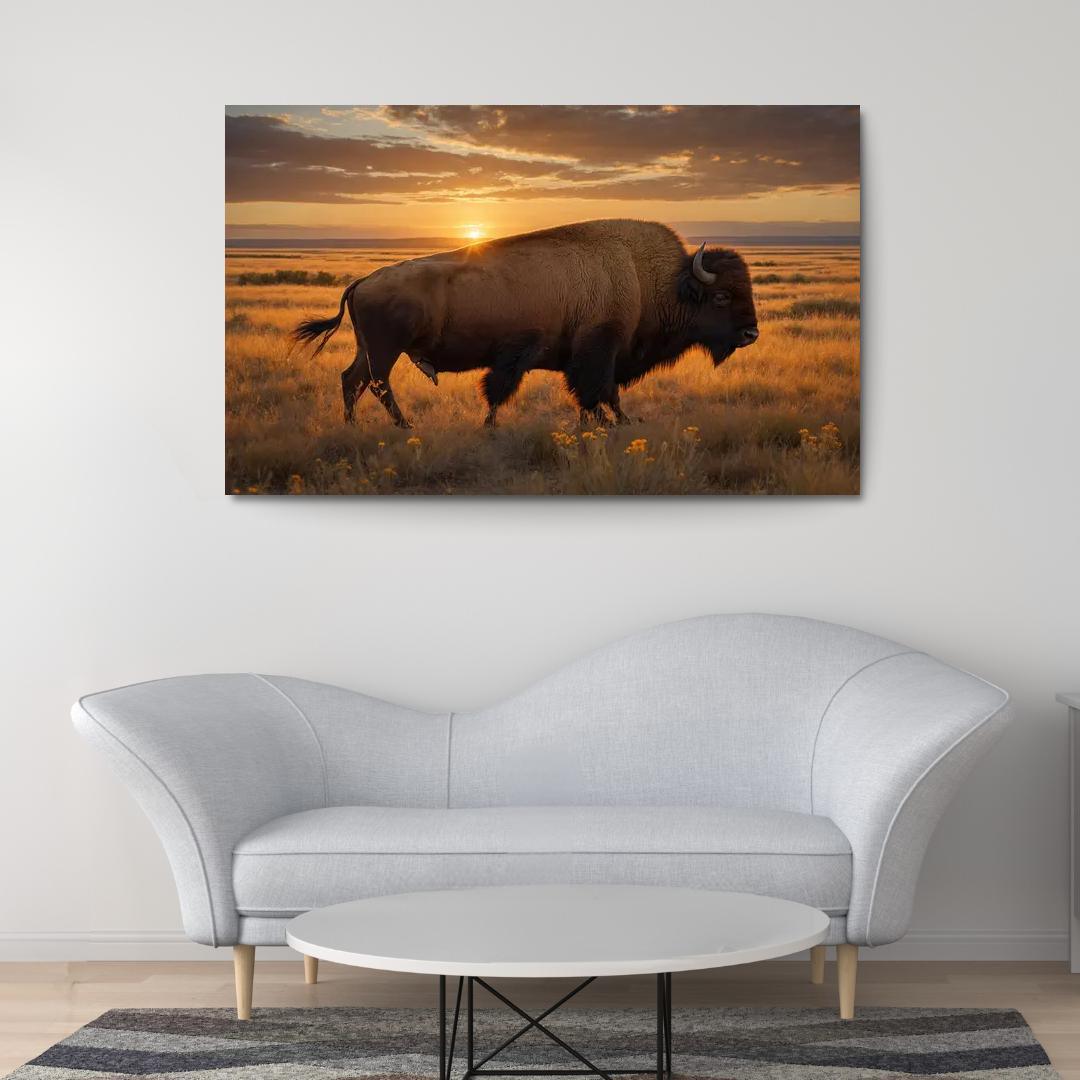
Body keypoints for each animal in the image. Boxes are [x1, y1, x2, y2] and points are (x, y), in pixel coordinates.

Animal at [293, 219, 758, 429]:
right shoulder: (597, 350)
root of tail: (363, 281)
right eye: (721, 296)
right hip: (386, 350)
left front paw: (613, 423)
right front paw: (615, 423)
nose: (751, 333)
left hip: (368, 348)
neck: (652, 281)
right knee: (375, 384)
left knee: (352, 379)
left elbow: (596, 393)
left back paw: (354, 426)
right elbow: (597, 390)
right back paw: (404, 426)